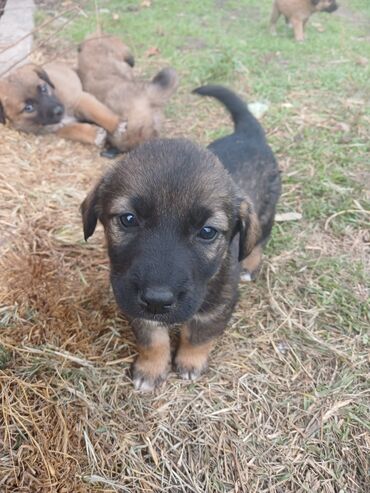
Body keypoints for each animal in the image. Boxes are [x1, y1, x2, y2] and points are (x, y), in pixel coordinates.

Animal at [81, 85, 280, 392]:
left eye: (207, 232)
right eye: (128, 219)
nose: (157, 300)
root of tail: (248, 134)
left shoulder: (218, 305)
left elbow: (198, 335)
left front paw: (189, 363)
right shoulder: (134, 305)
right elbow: (152, 340)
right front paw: (151, 369)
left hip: (266, 213)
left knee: (257, 240)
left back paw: (249, 264)